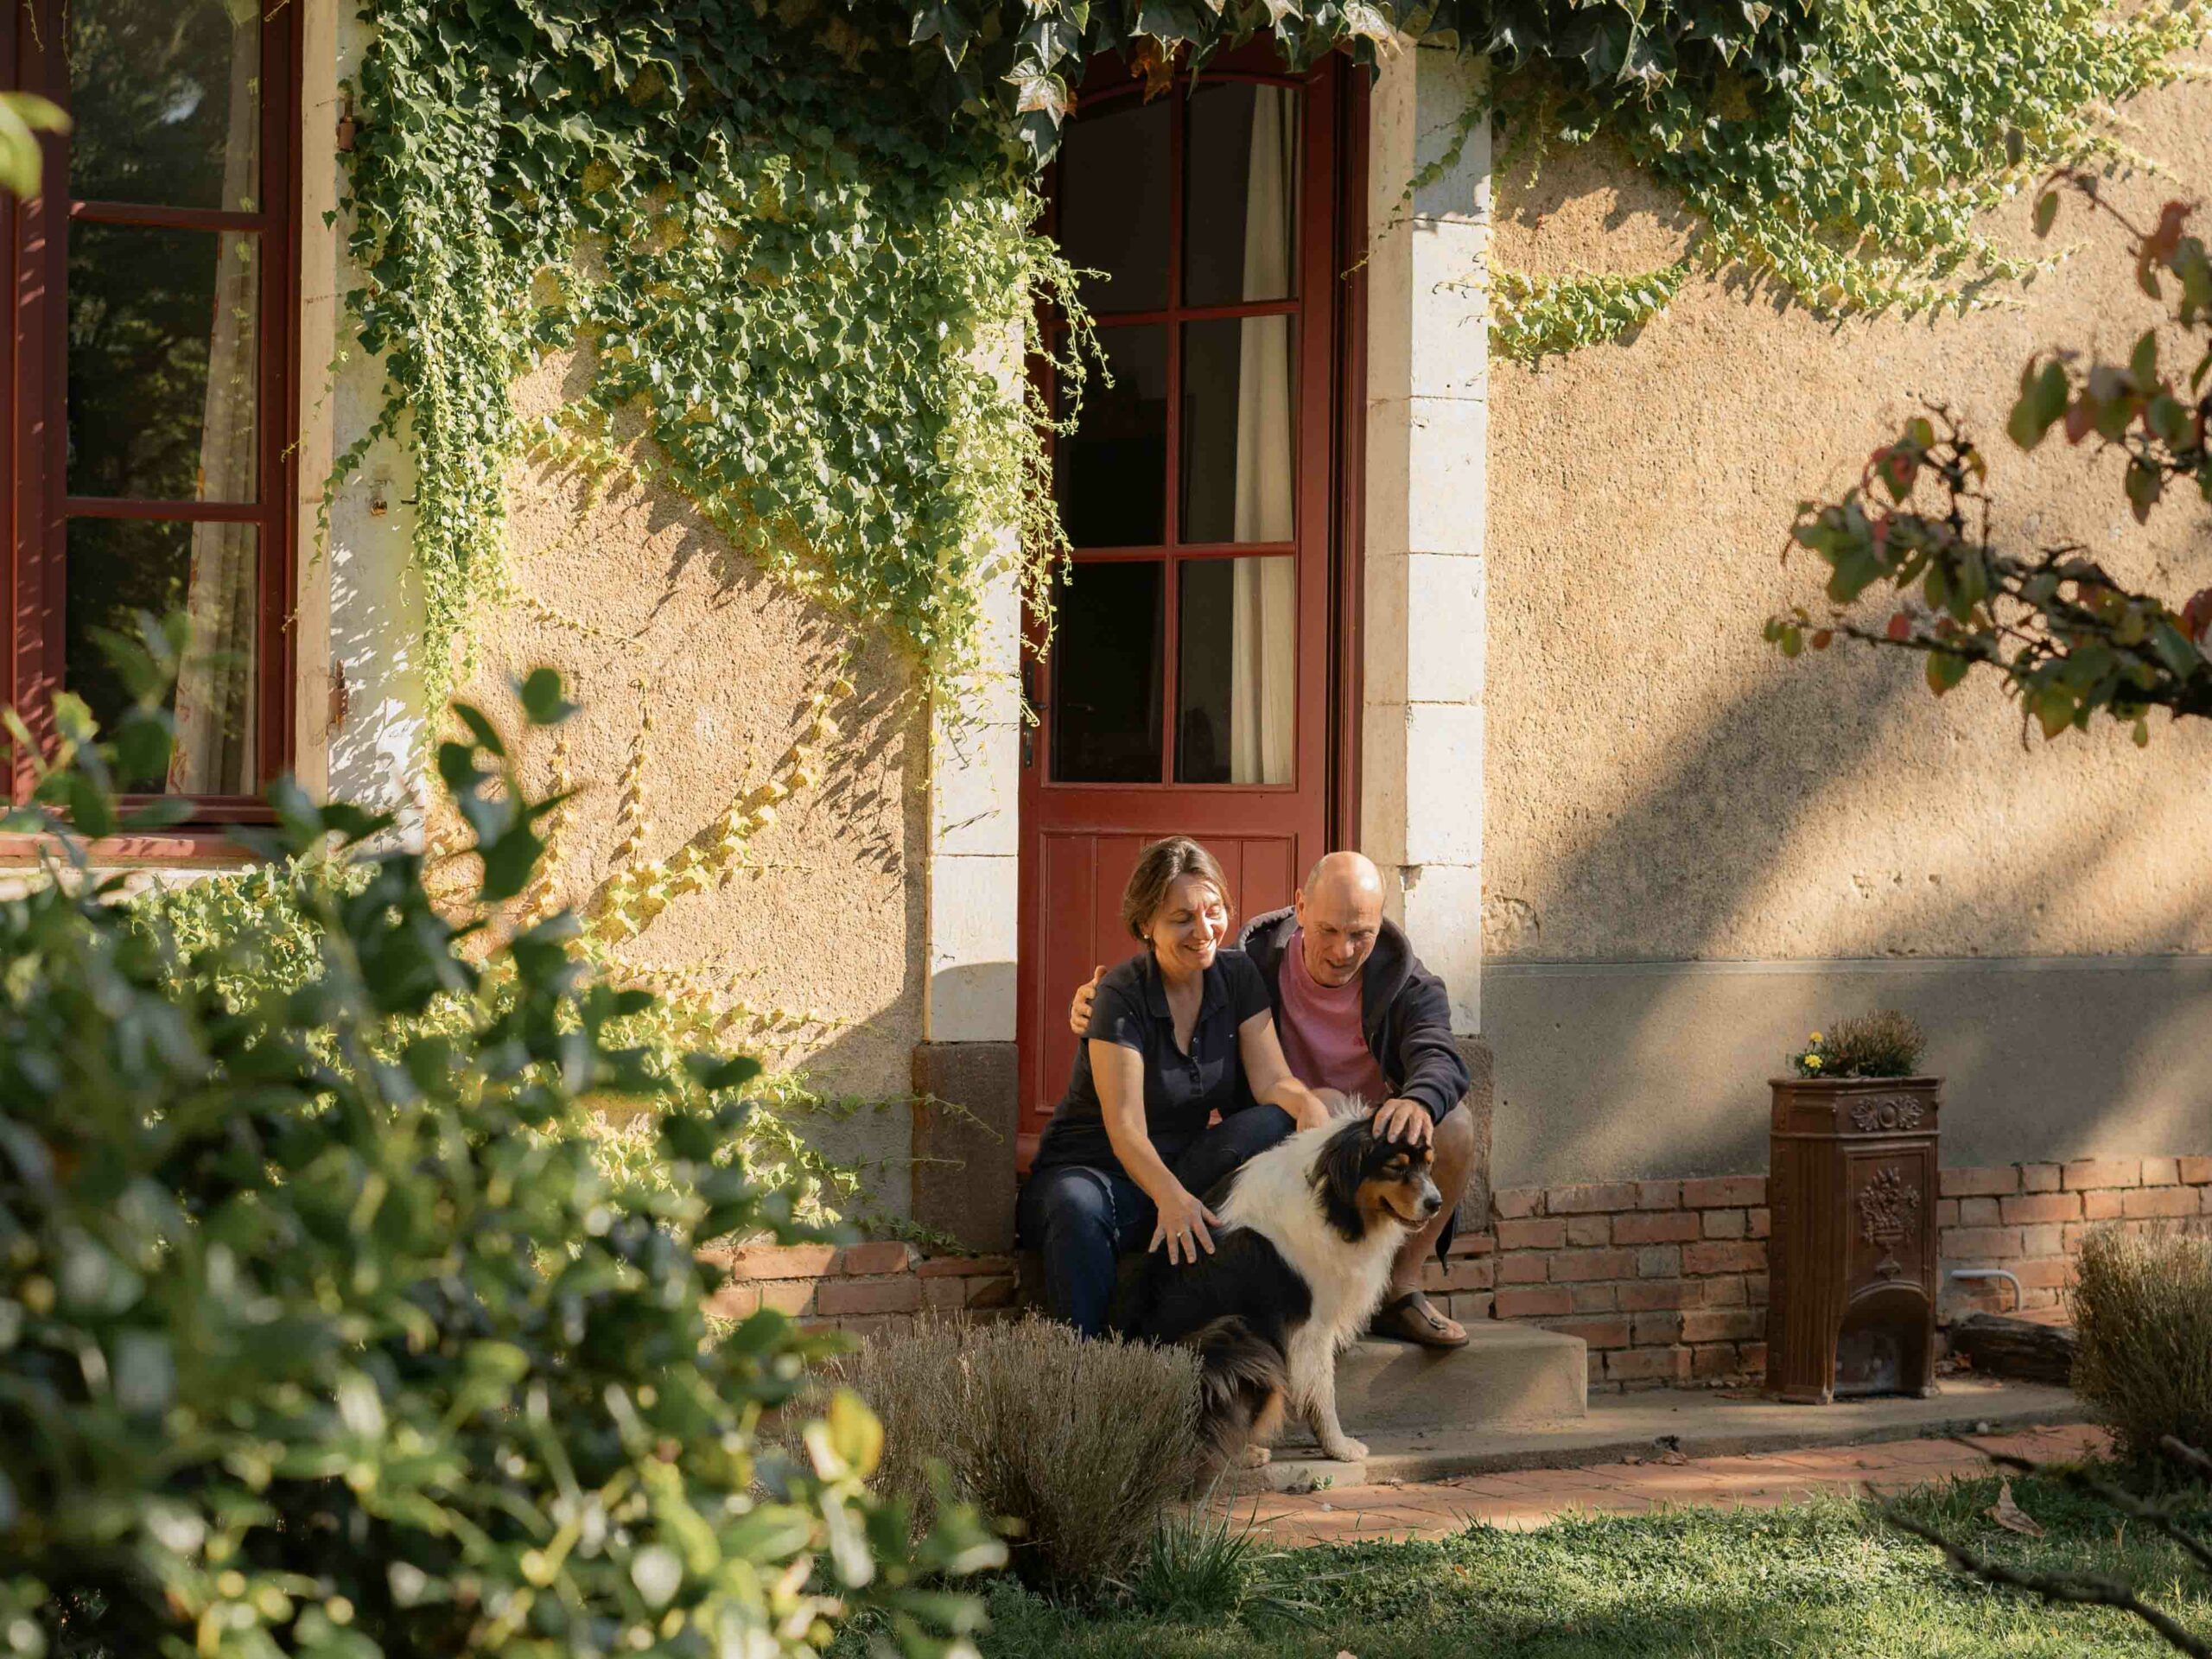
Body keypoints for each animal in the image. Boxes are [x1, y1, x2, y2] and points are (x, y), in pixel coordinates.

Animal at [1132, 1110, 1442, 1459]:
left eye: (1428, 1165)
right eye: (1395, 1168)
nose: (1436, 1203)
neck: (1330, 1198)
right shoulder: (1311, 1325)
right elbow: (1322, 1391)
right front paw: (1339, 1447)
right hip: (1239, 1338)